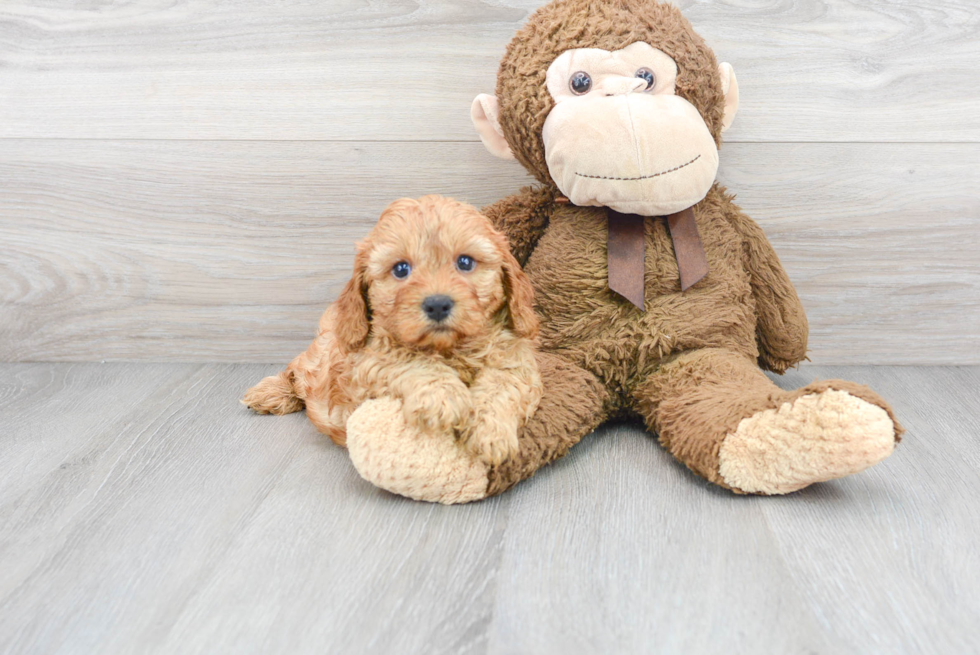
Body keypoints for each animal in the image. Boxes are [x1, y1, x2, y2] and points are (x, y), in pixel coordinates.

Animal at [241, 195, 540, 466]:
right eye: (401, 269)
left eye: (465, 262)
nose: (437, 304)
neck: (449, 348)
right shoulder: (360, 371)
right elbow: (404, 358)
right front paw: (442, 395)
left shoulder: (518, 361)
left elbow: (503, 384)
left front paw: (490, 432)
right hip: (319, 351)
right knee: (296, 370)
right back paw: (271, 393)